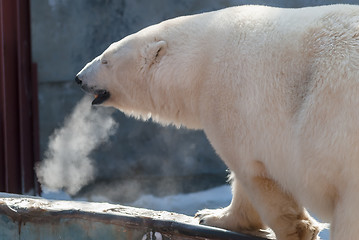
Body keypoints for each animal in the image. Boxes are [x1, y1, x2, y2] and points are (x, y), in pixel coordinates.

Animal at [74, 4, 359, 240]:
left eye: (106, 60)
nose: (78, 78)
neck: (200, 61)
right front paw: (211, 215)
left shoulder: (233, 99)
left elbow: (254, 174)